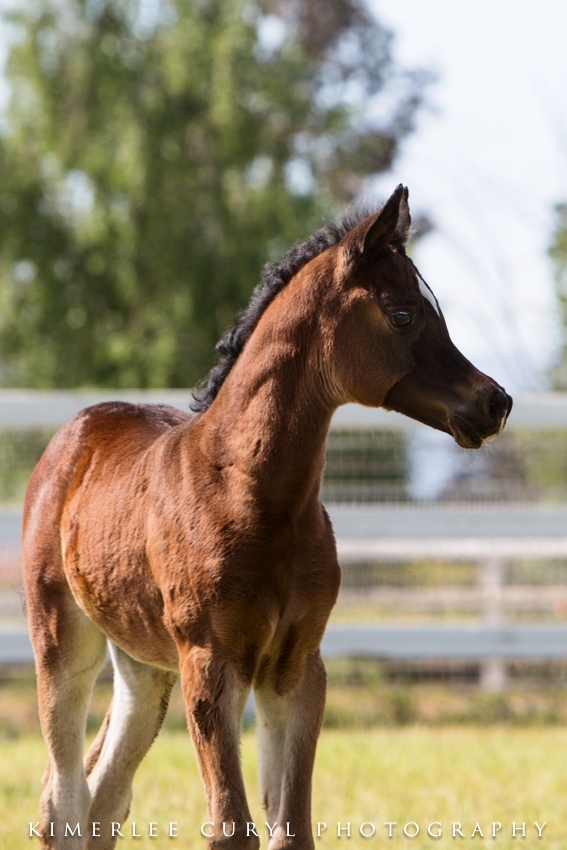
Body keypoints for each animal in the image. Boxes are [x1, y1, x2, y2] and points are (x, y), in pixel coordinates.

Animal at [22, 185, 512, 850]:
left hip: (144, 665)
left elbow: (292, 828)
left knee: (105, 799)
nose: (494, 402)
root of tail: (76, 431)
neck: (256, 498)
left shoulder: (296, 668)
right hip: (62, 639)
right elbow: (232, 828)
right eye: (404, 313)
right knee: (63, 799)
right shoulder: (211, 665)